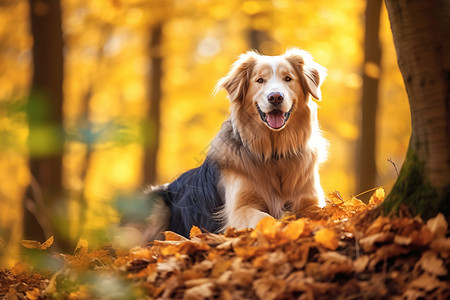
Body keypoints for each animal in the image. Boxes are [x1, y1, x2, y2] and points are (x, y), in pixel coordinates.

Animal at [116, 47, 326, 244]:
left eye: (288, 78)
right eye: (260, 80)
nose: (276, 97)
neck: (274, 154)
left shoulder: (311, 200)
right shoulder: (240, 209)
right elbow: (266, 219)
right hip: (154, 204)